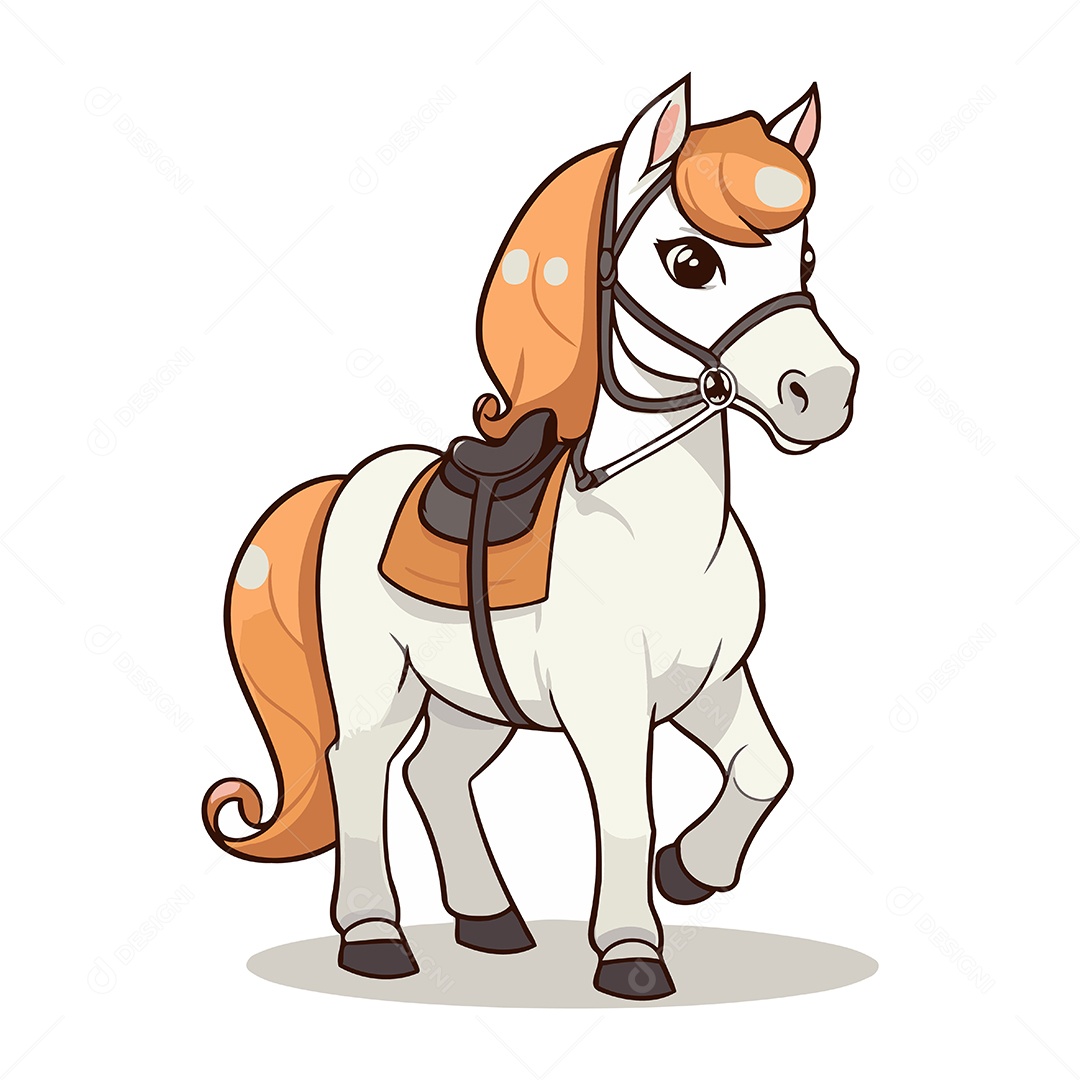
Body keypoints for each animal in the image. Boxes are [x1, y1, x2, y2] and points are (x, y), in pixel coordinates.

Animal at [203, 76, 859, 1001]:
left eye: (804, 261)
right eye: (691, 262)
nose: (824, 391)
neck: (653, 531)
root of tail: (352, 484)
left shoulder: (713, 681)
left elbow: (768, 769)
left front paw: (689, 871)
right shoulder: (608, 706)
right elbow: (625, 814)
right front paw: (630, 951)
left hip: (471, 698)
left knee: (434, 773)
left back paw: (490, 921)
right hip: (379, 686)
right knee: (359, 767)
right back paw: (374, 935)